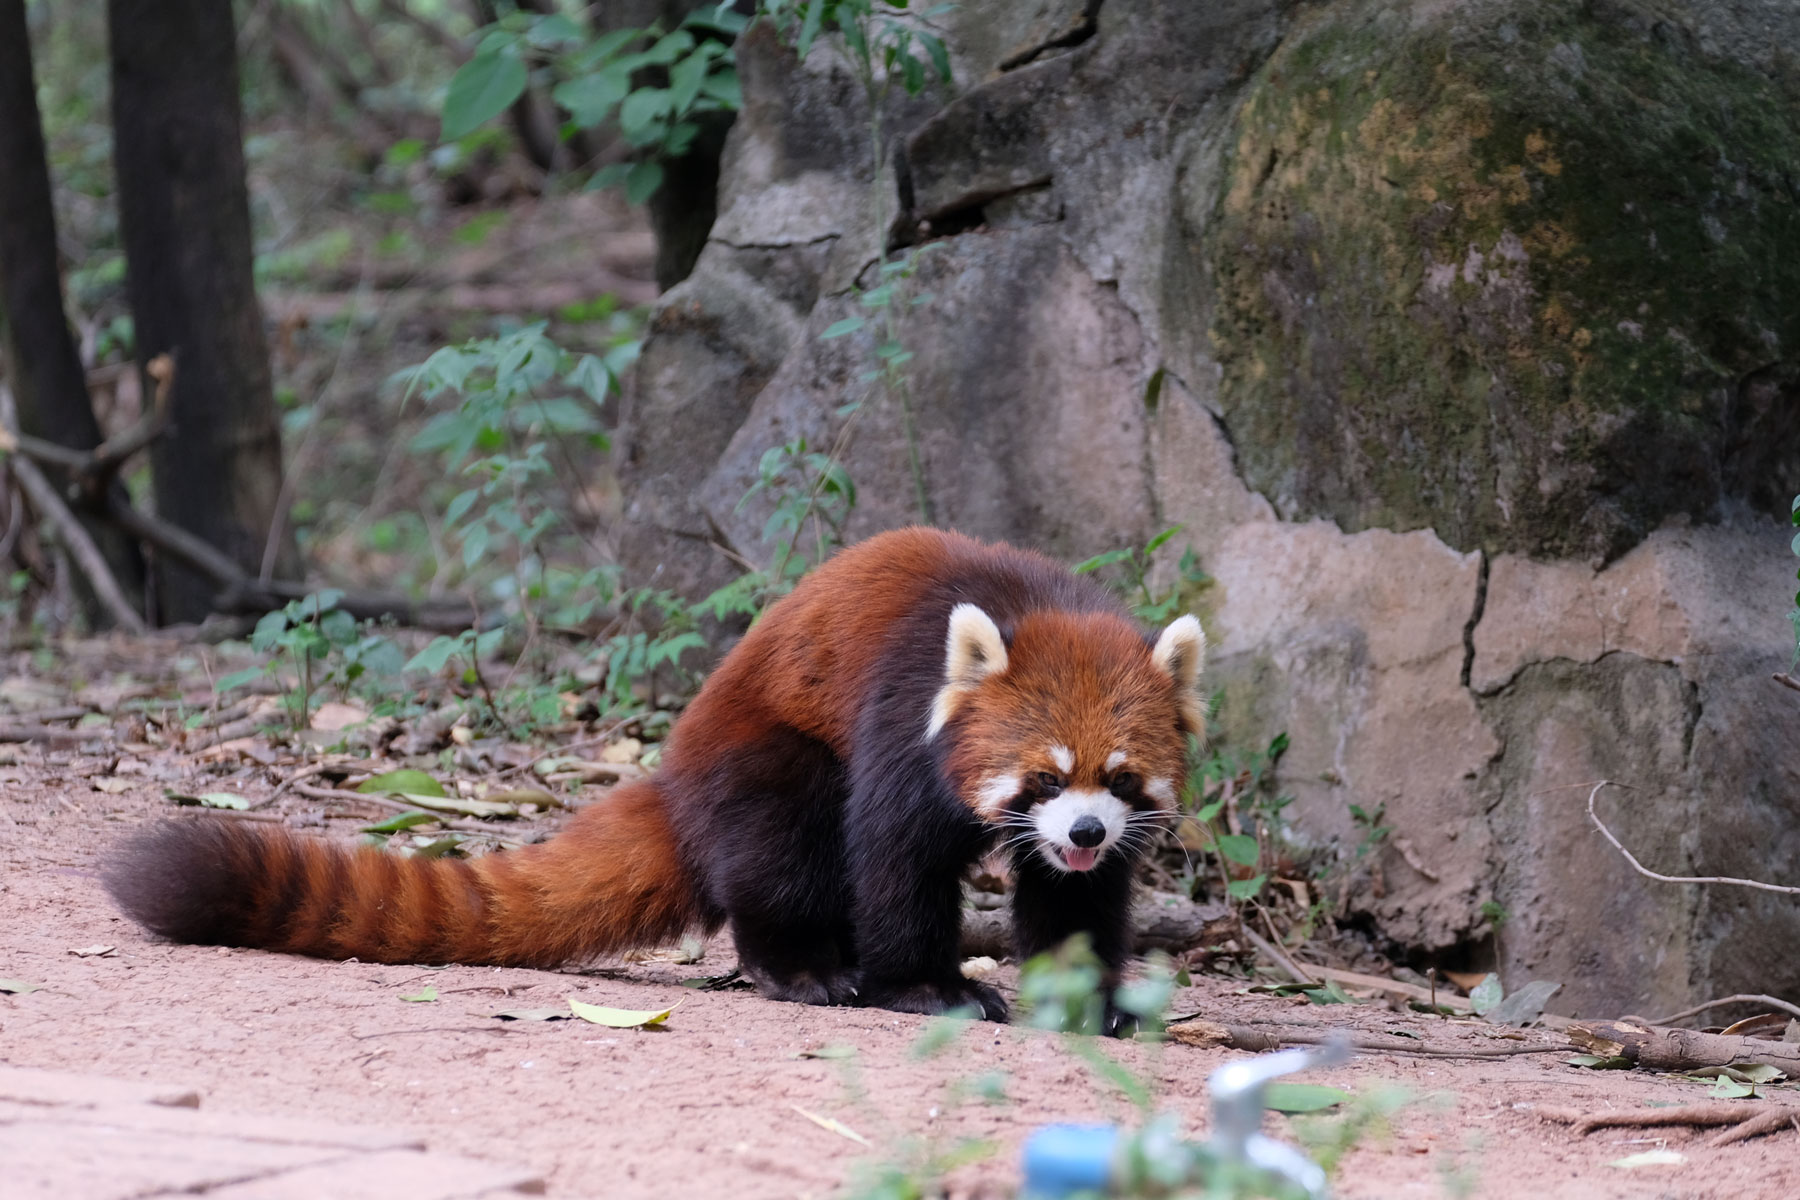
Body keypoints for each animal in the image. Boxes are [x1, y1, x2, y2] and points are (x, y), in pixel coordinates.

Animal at [112, 532, 1209, 1036]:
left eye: (1115, 779)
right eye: (1041, 776)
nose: (1081, 833)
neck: (1029, 603)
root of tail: (675, 770)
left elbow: (1078, 906)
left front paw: (1093, 998)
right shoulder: (902, 720)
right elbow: (896, 861)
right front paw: (928, 989)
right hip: (766, 756)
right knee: (787, 846)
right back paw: (805, 968)